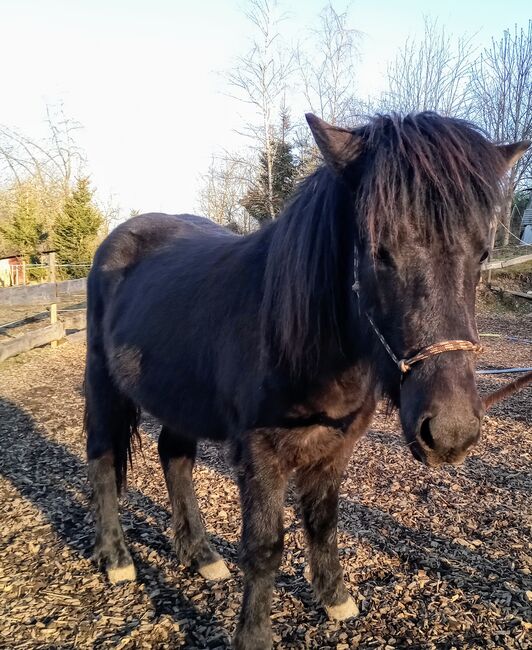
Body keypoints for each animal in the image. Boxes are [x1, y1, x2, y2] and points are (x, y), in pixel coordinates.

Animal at [84, 112, 528, 648]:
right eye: (378, 251)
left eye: (482, 255)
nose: (450, 432)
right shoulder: (260, 456)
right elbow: (265, 546)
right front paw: (254, 635)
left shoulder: (333, 448)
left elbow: (323, 522)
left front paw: (334, 598)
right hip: (104, 385)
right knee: (103, 458)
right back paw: (116, 558)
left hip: (179, 397)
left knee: (175, 456)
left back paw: (201, 555)